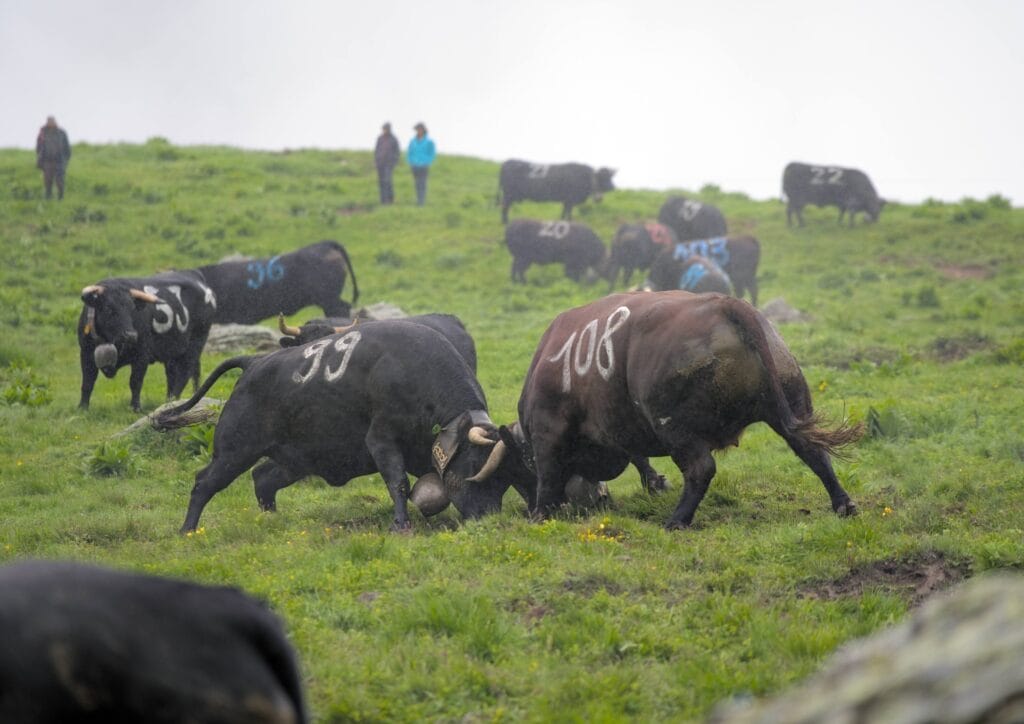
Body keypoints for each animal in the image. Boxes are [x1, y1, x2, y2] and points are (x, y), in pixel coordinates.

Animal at [78, 268, 217, 411]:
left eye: (132, 308)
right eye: (108, 308)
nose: (131, 335)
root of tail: (194, 274)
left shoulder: (142, 355)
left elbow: (135, 382)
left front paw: (135, 407)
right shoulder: (86, 353)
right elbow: (87, 382)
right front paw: (82, 407)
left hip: (196, 342)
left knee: (185, 372)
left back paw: (173, 401)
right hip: (173, 352)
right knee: (176, 375)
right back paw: (169, 401)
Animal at [155, 321, 524, 532]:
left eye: (507, 478)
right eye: (475, 466)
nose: (488, 516)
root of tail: (254, 362)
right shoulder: (381, 440)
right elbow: (398, 483)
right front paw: (401, 525)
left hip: (294, 460)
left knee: (262, 478)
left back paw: (271, 520)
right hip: (234, 450)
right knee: (204, 483)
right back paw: (187, 530)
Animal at [503, 290, 864, 528]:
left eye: (521, 465)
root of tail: (725, 303)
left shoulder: (548, 428)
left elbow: (548, 472)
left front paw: (540, 513)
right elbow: (638, 457)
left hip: (673, 425)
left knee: (700, 469)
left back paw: (677, 520)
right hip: (791, 404)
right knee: (813, 451)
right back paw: (843, 503)